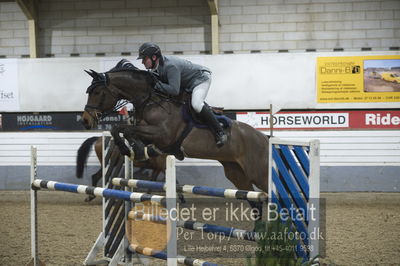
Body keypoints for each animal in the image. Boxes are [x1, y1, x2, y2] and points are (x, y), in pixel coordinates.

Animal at [80, 61, 268, 218]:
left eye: (97, 92)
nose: (85, 121)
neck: (151, 101)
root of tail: (263, 138)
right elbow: (123, 130)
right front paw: (135, 149)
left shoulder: (162, 134)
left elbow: (123, 129)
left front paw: (130, 149)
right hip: (235, 173)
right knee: (255, 202)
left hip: (257, 173)